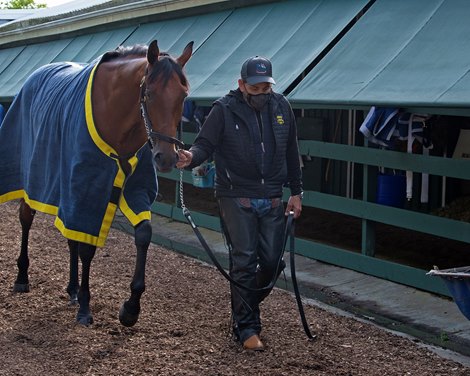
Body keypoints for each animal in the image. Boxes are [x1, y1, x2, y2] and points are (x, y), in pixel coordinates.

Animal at [0, 39, 193, 324]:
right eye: (149, 94)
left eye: (183, 96)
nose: (166, 157)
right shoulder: (86, 186)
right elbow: (87, 249)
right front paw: (85, 305)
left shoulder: (133, 188)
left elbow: (143, 234)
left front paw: (131, 307)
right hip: (33, 181)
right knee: (26, 219)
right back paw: (23, 277)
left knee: (70, 235)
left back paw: (71, 288)